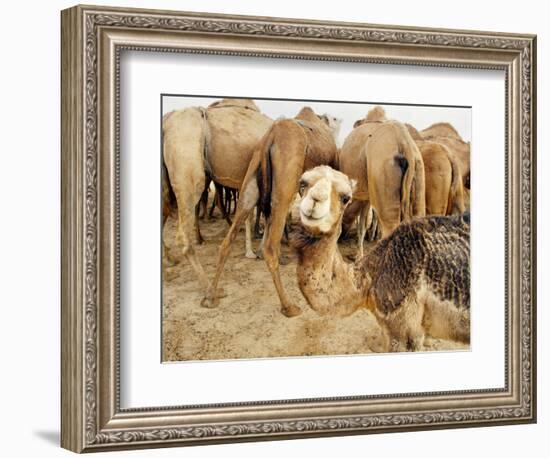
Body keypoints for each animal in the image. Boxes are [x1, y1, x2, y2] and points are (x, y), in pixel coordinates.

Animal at [203, 106, 340, 318]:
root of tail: (271, 136)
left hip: (252, 178)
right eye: (333, 119)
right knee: (270, 244)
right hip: (285, 179)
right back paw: (289, 305)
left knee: (229, 238)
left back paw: (211, 296)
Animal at [340, 107, 426, 258]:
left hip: (383, 170)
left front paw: (358, 256)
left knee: (390, 227)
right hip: (418, 171)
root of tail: (405, 145)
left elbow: (361, 223)